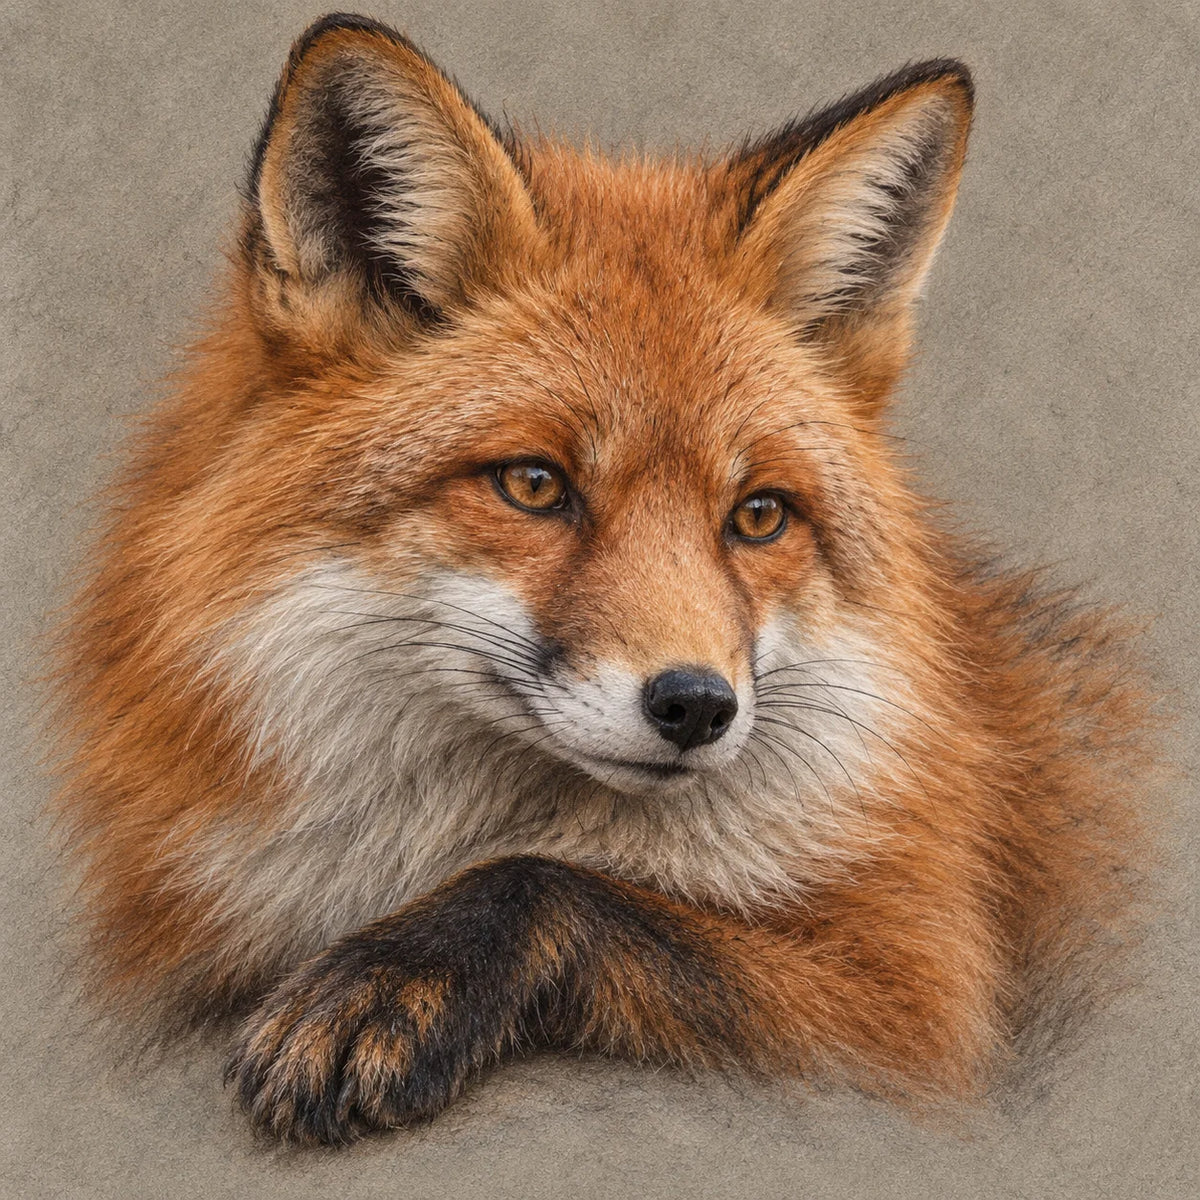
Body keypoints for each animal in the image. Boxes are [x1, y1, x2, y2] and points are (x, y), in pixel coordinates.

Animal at [51, 13, 1156, 1146]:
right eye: (536, 485)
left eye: (759, 515)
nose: (697, 705)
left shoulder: (914, 1000)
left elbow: (564, 888)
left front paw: (395, 979)